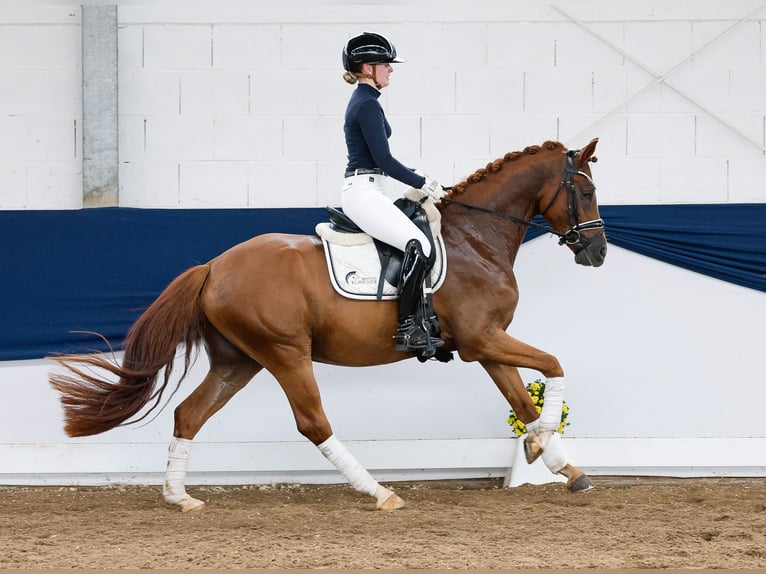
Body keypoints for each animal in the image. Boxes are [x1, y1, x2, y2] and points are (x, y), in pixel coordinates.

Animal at [51, 138, 608, 512]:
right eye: (584, 191)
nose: (598, 252)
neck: (476, 237)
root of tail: (214, 266)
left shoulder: (487, 344)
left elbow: (522, 398)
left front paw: (559, 463)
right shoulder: (481, 340)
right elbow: (553, 365)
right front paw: (545, 447)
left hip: (239, 361)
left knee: (189, 414)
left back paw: (178, 496)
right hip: (285, 353)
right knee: (312, 422)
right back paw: (378, 491)